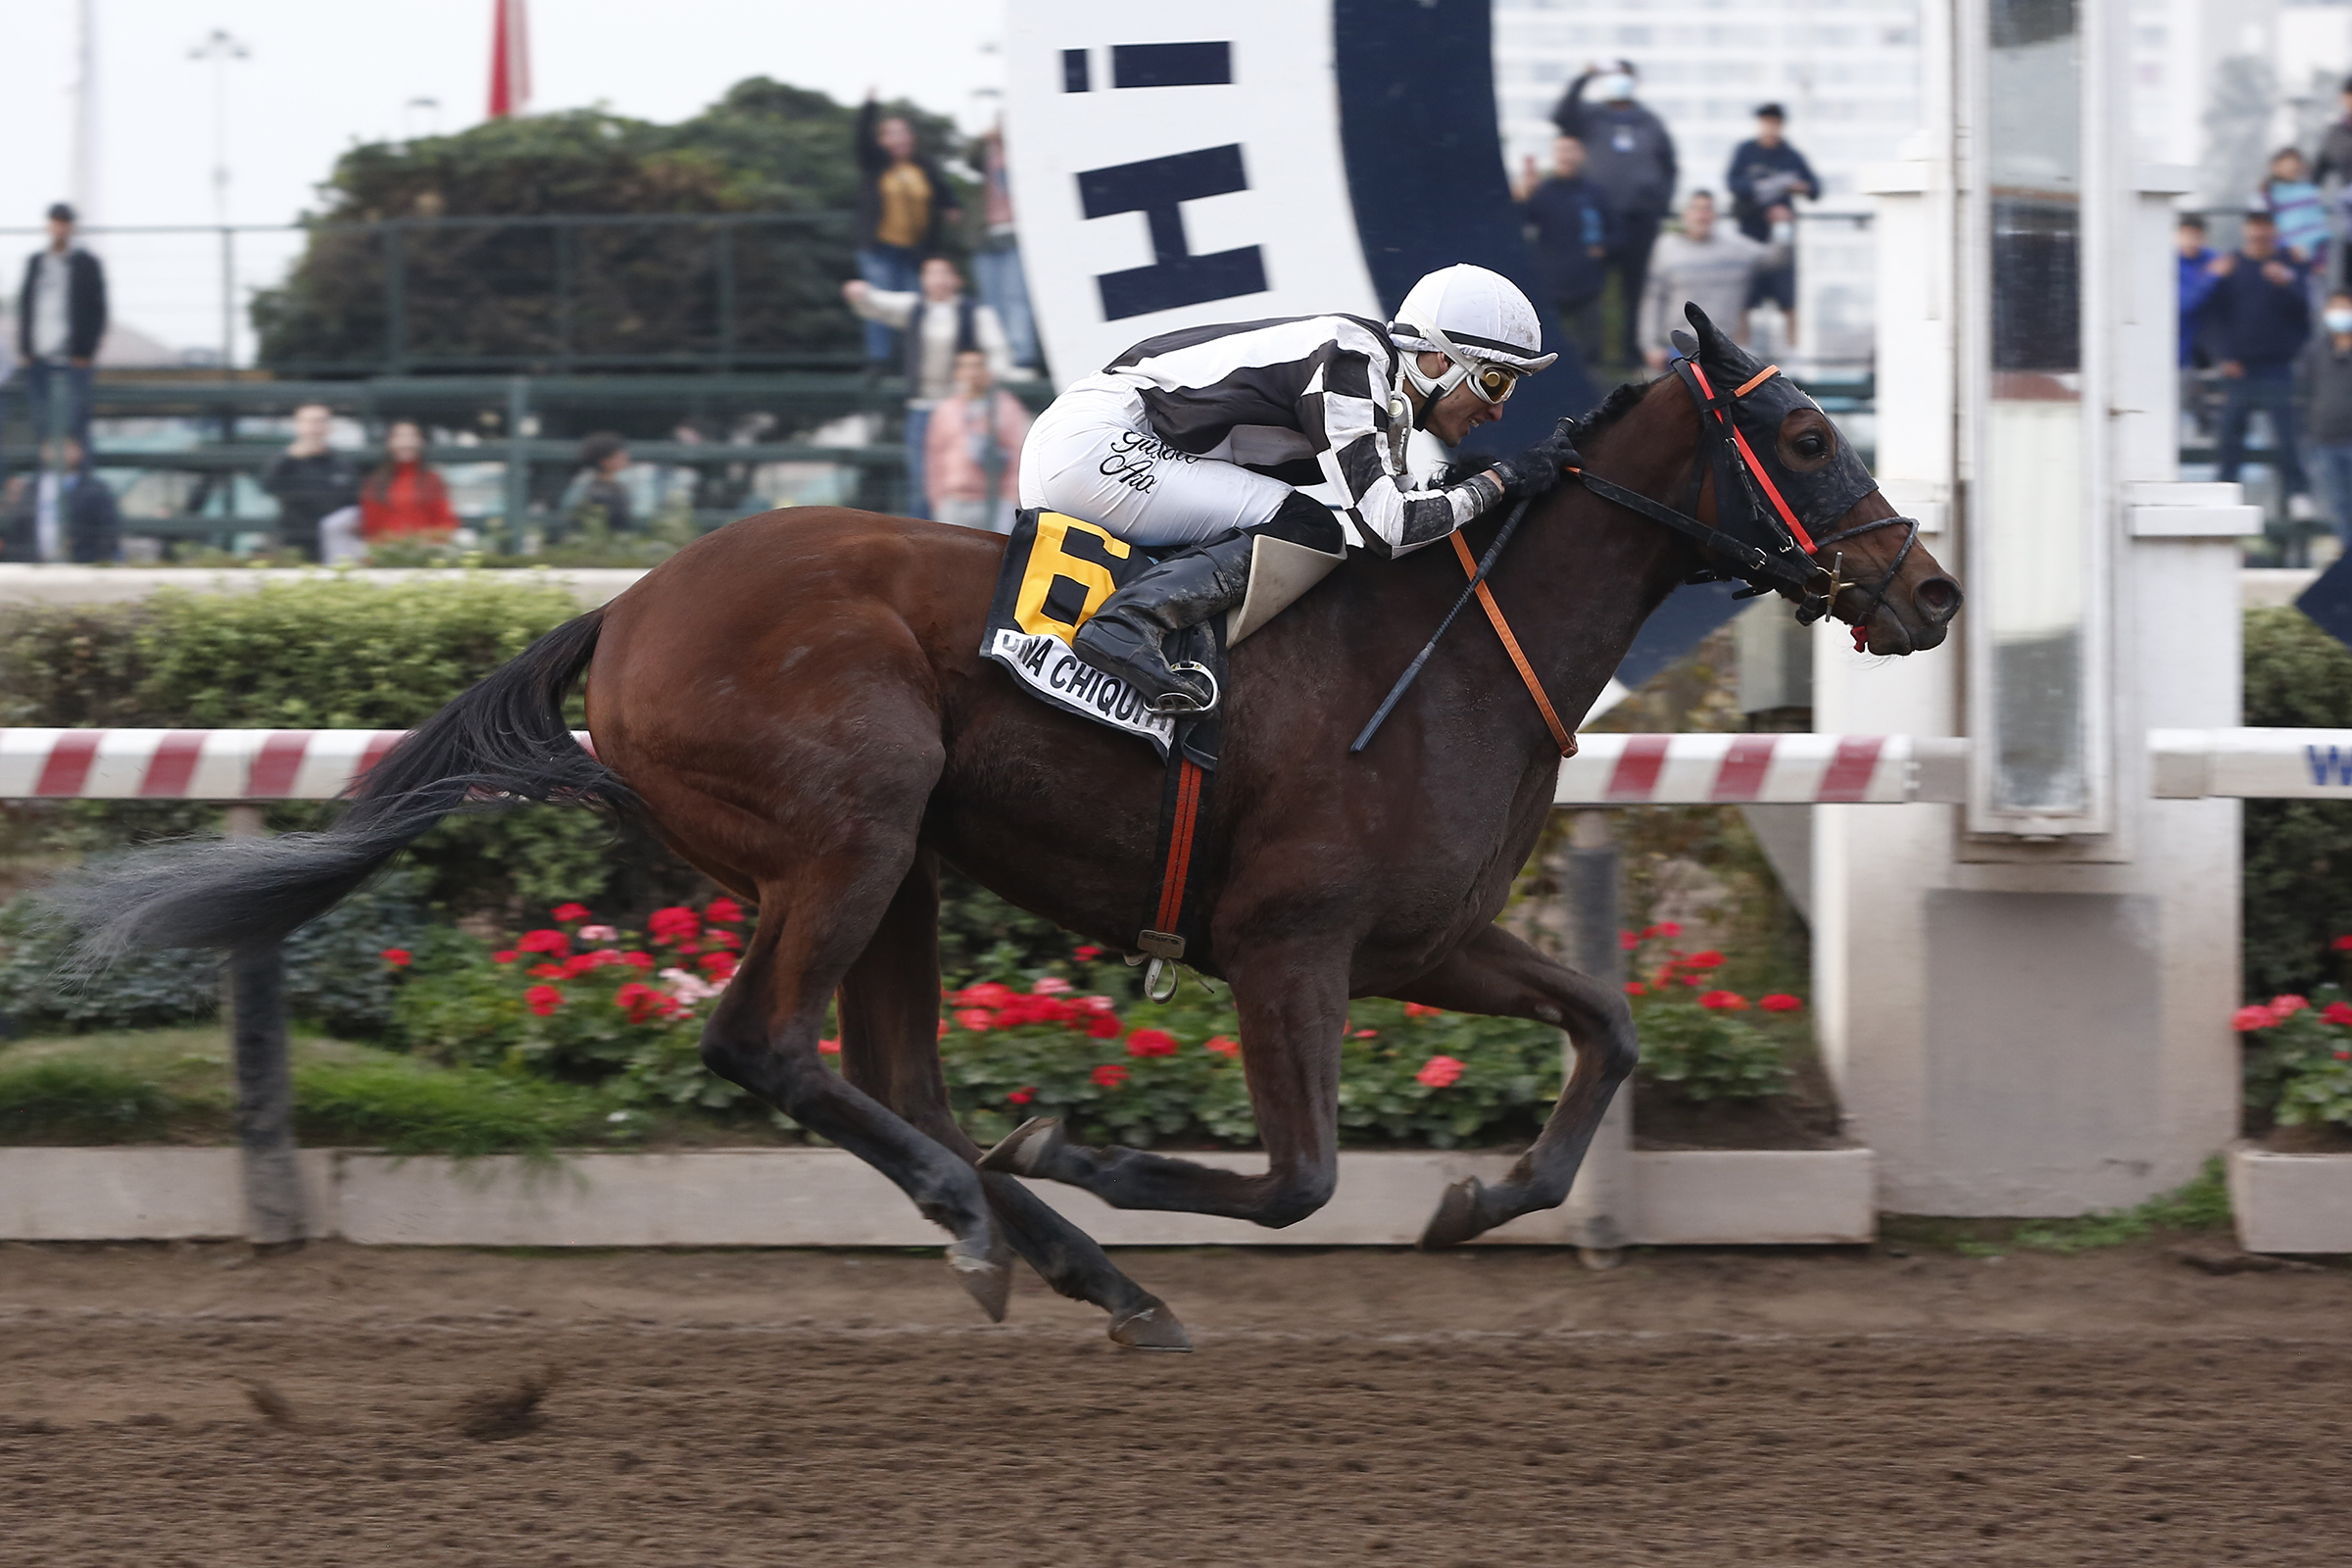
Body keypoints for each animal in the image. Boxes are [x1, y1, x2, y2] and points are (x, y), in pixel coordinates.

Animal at [72, 307, 1959, 1351]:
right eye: (1806, 430)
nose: (1929, 589)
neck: (1451, 636)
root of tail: (628, 607)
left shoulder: (1424, 937)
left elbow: (1611, 1026)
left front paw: (1486, 1198)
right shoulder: (1290, 944)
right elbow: (1299, 1179)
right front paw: (1087, 1154)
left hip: (903, 862)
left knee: (888, 1078)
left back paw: (1073, 1267)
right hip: (849, 826)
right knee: (767, 1047)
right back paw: (1011, 1222)